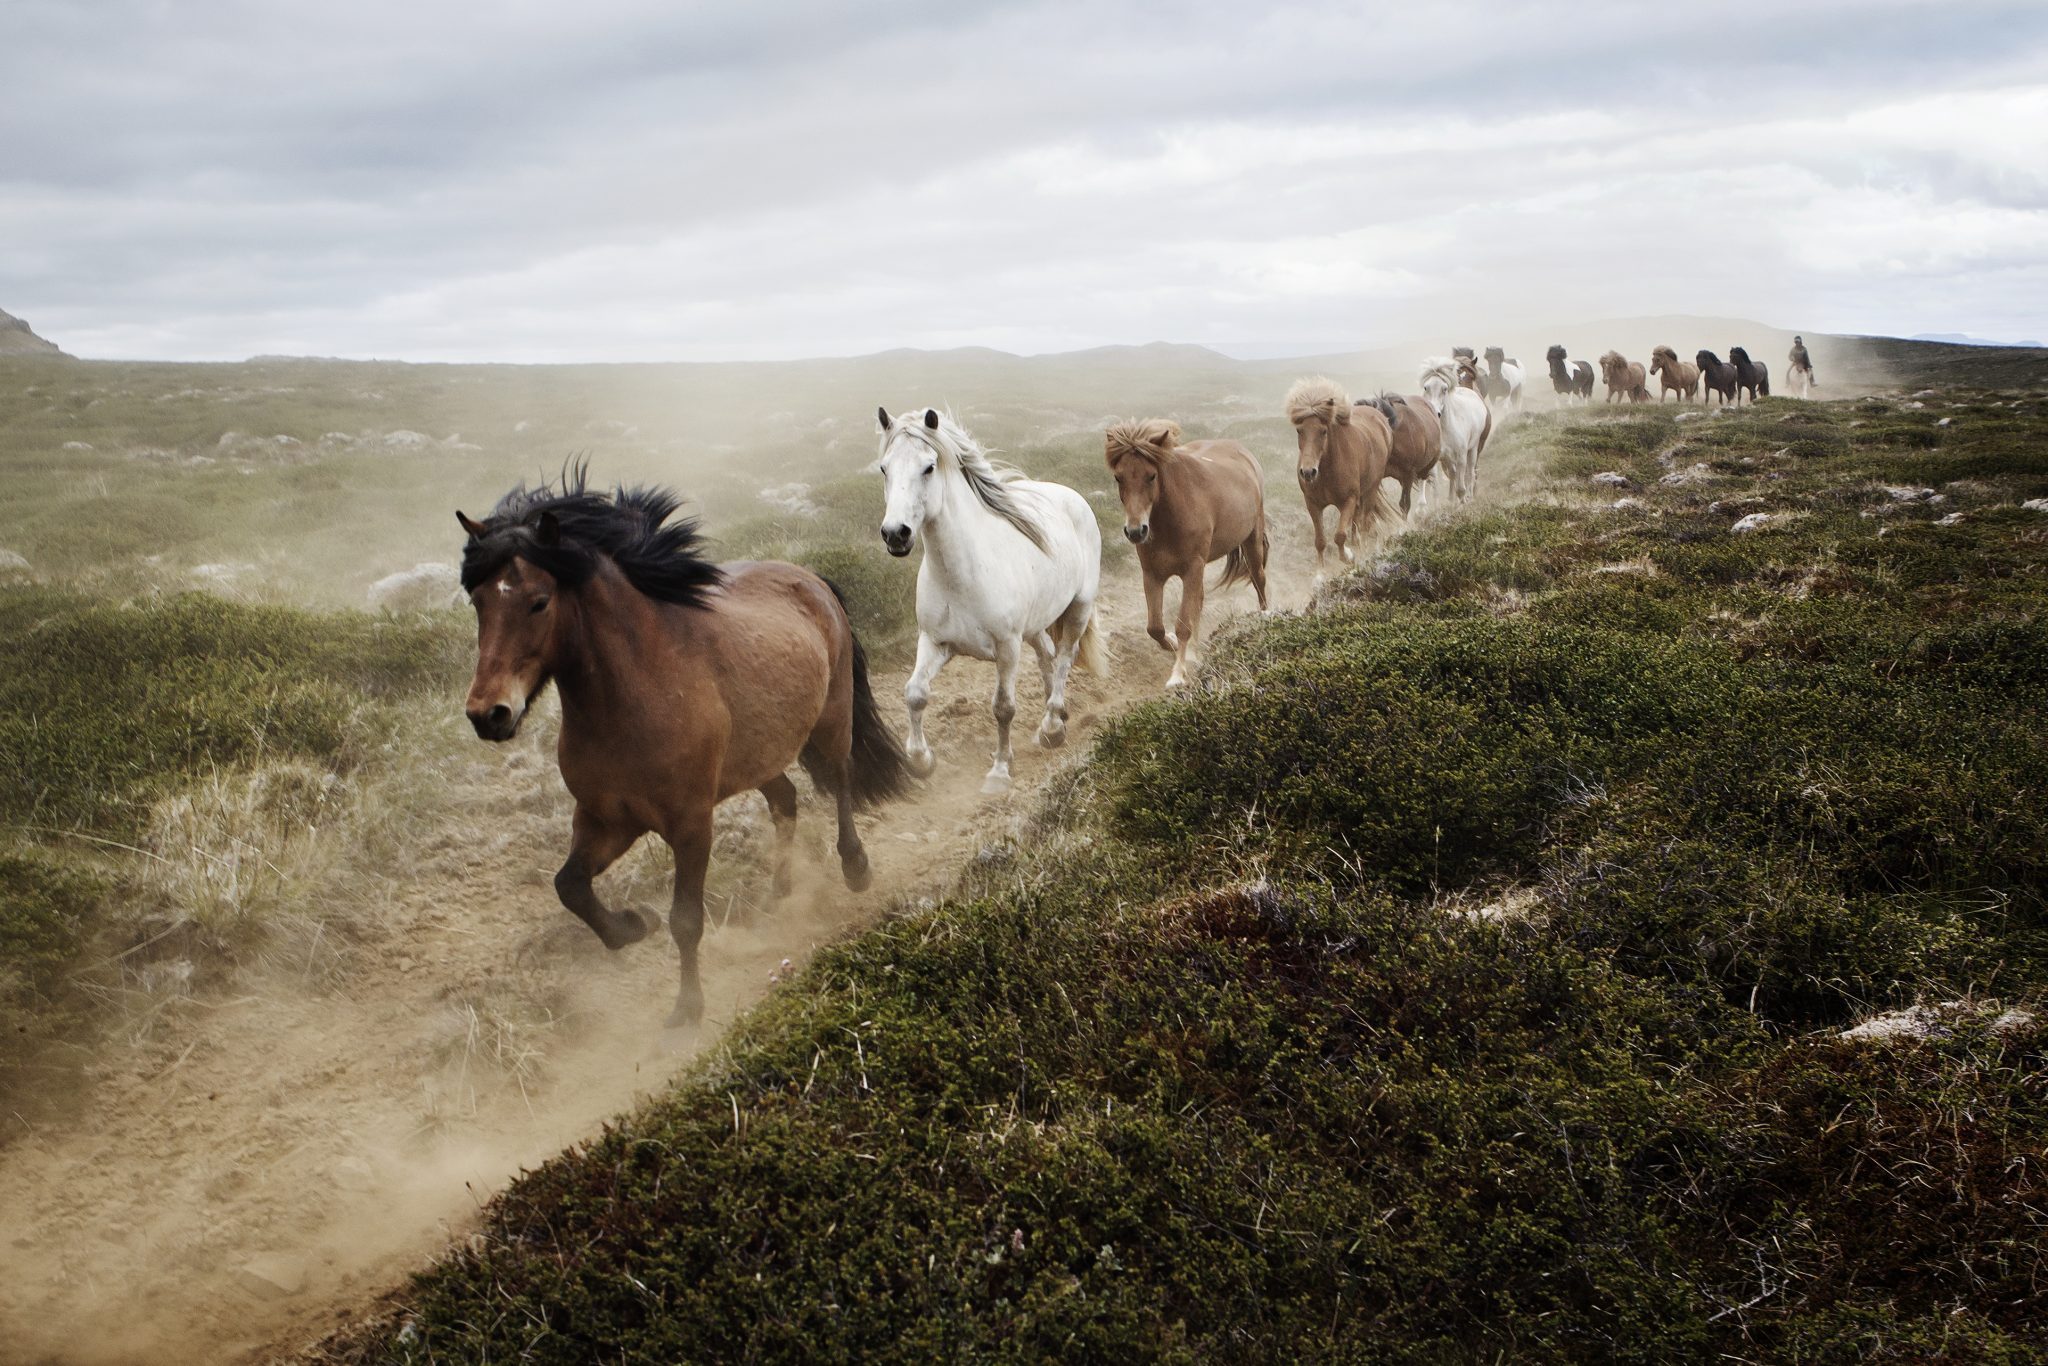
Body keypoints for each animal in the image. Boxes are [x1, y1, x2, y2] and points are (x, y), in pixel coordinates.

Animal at [456, 467, 914, 1029]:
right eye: (477, 601)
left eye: (539, 601)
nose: (488, 714)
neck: (634, 698)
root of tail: (808, 577)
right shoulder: (606, 820)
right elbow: (570, 886)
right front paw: (633, 925)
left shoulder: (691, 823)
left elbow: (686, 920)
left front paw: (687, 1010)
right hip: (757, 757)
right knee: (786, 801)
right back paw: (779, 891)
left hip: (831, 720)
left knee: (842, 777)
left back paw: (855, 867)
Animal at [876, 406, 1105, 795]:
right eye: (883, 468)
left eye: (928, 467)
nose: (895, 534)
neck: (961, 575)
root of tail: (1071, 496)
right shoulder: (935, 642)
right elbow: (915, 693)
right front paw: (921, 761)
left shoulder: (1007, 646)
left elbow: (1003, 707)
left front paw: (998, 772)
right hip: (1035, 624)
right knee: (1046, 655)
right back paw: (1055, 718)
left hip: (1078, 609)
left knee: (1064, 658)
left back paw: (1051, 727)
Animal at [1104, 419, 1269, 689]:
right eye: (1118, 477)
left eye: (1151, 475)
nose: (1136, 531)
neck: (1171, 518)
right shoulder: (1152, 575)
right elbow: (1155, 627)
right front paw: (1174, 646)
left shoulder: (1192, 569)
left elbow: (1183, 623)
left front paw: (1178, 674)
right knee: (1199, 602)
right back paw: (1192, 651)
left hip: (1251, 541)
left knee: (1259, 579)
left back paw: (1265, 617)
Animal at [1284, 377, 1400, 573]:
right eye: (1300, 430)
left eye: (1323, 431)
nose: (1308, 472)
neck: (1327, 473)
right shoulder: (1313, 504)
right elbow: (1320, 541)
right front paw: (1321, 570)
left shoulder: (1348, 500)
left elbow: (1339, 535)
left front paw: (1348, 557)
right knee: (1357, 524)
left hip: (1370, 491)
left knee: (1364, 523)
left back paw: (1361, 548)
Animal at [1420, 356, 1492, 502]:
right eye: (1426, 387)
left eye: (1444, 388)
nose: (1434, 412)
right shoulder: (1439, 458)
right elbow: (1439, 485)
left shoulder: (1461, 456)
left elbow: (1461, 487)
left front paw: (1463, 502)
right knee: (1453, 474)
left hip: (1473, 449)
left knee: (1470, 472)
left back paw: (1470, 495)